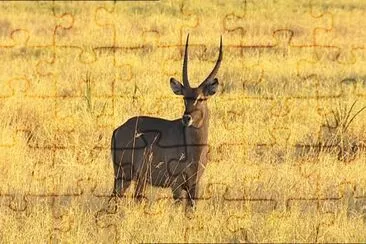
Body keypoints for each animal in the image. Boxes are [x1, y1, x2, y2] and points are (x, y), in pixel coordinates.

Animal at [110, 34, 222, 210]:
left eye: (201, 98)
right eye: (184, 97)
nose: (186, 118)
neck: (195, 147)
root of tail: (118, 130)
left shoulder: (194, 184)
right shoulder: (176, 184)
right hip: (125, 175)